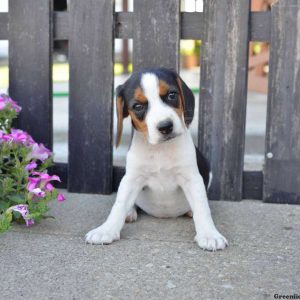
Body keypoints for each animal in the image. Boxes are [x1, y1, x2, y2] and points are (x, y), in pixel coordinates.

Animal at [86, 68, 227, 251]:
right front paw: (106, 230)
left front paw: (210, 235)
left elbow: (202, 208)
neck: (160, 149)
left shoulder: (192, 178)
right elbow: (119, 204)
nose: (166, 126)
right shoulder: (132, 178)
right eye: (138, 106)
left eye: (172, 95)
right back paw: (130, 212)